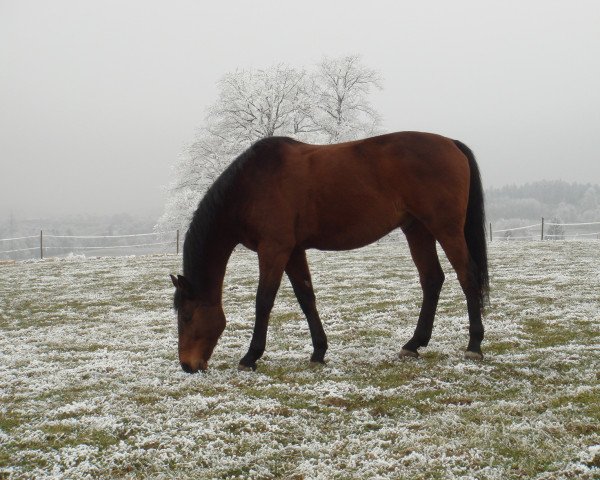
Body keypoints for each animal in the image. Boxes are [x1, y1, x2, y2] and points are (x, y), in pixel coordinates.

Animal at [171, 132, 490, 376]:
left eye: (186, 316)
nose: (187, 365)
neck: (251, 185)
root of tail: (451, 143)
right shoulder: (293, 251)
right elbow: (306, 298)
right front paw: (319, 351)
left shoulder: (274, 249)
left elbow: (264, 301)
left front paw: (251, 357)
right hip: (417, 230)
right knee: (432, 279)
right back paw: (414, 344)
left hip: (445, 228)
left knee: (467, 275)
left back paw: (474, 345)